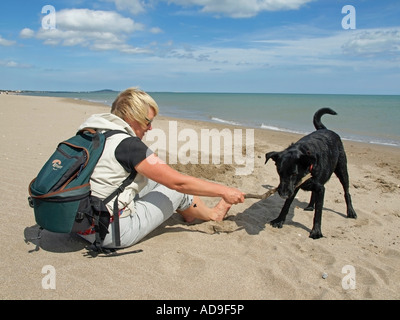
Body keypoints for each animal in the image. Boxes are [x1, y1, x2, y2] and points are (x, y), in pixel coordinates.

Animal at [266, 107, 356, 238]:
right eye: (279, 172)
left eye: (294, 173)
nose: (282, 194)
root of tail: (325, 129)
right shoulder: (294, 187)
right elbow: (286, 206)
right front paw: (279, 220)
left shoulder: (320, 189)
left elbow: (318, 212)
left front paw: (316, 231)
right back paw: (309, 206)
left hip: (342, 169)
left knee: (346, 192)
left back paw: (350, 211)